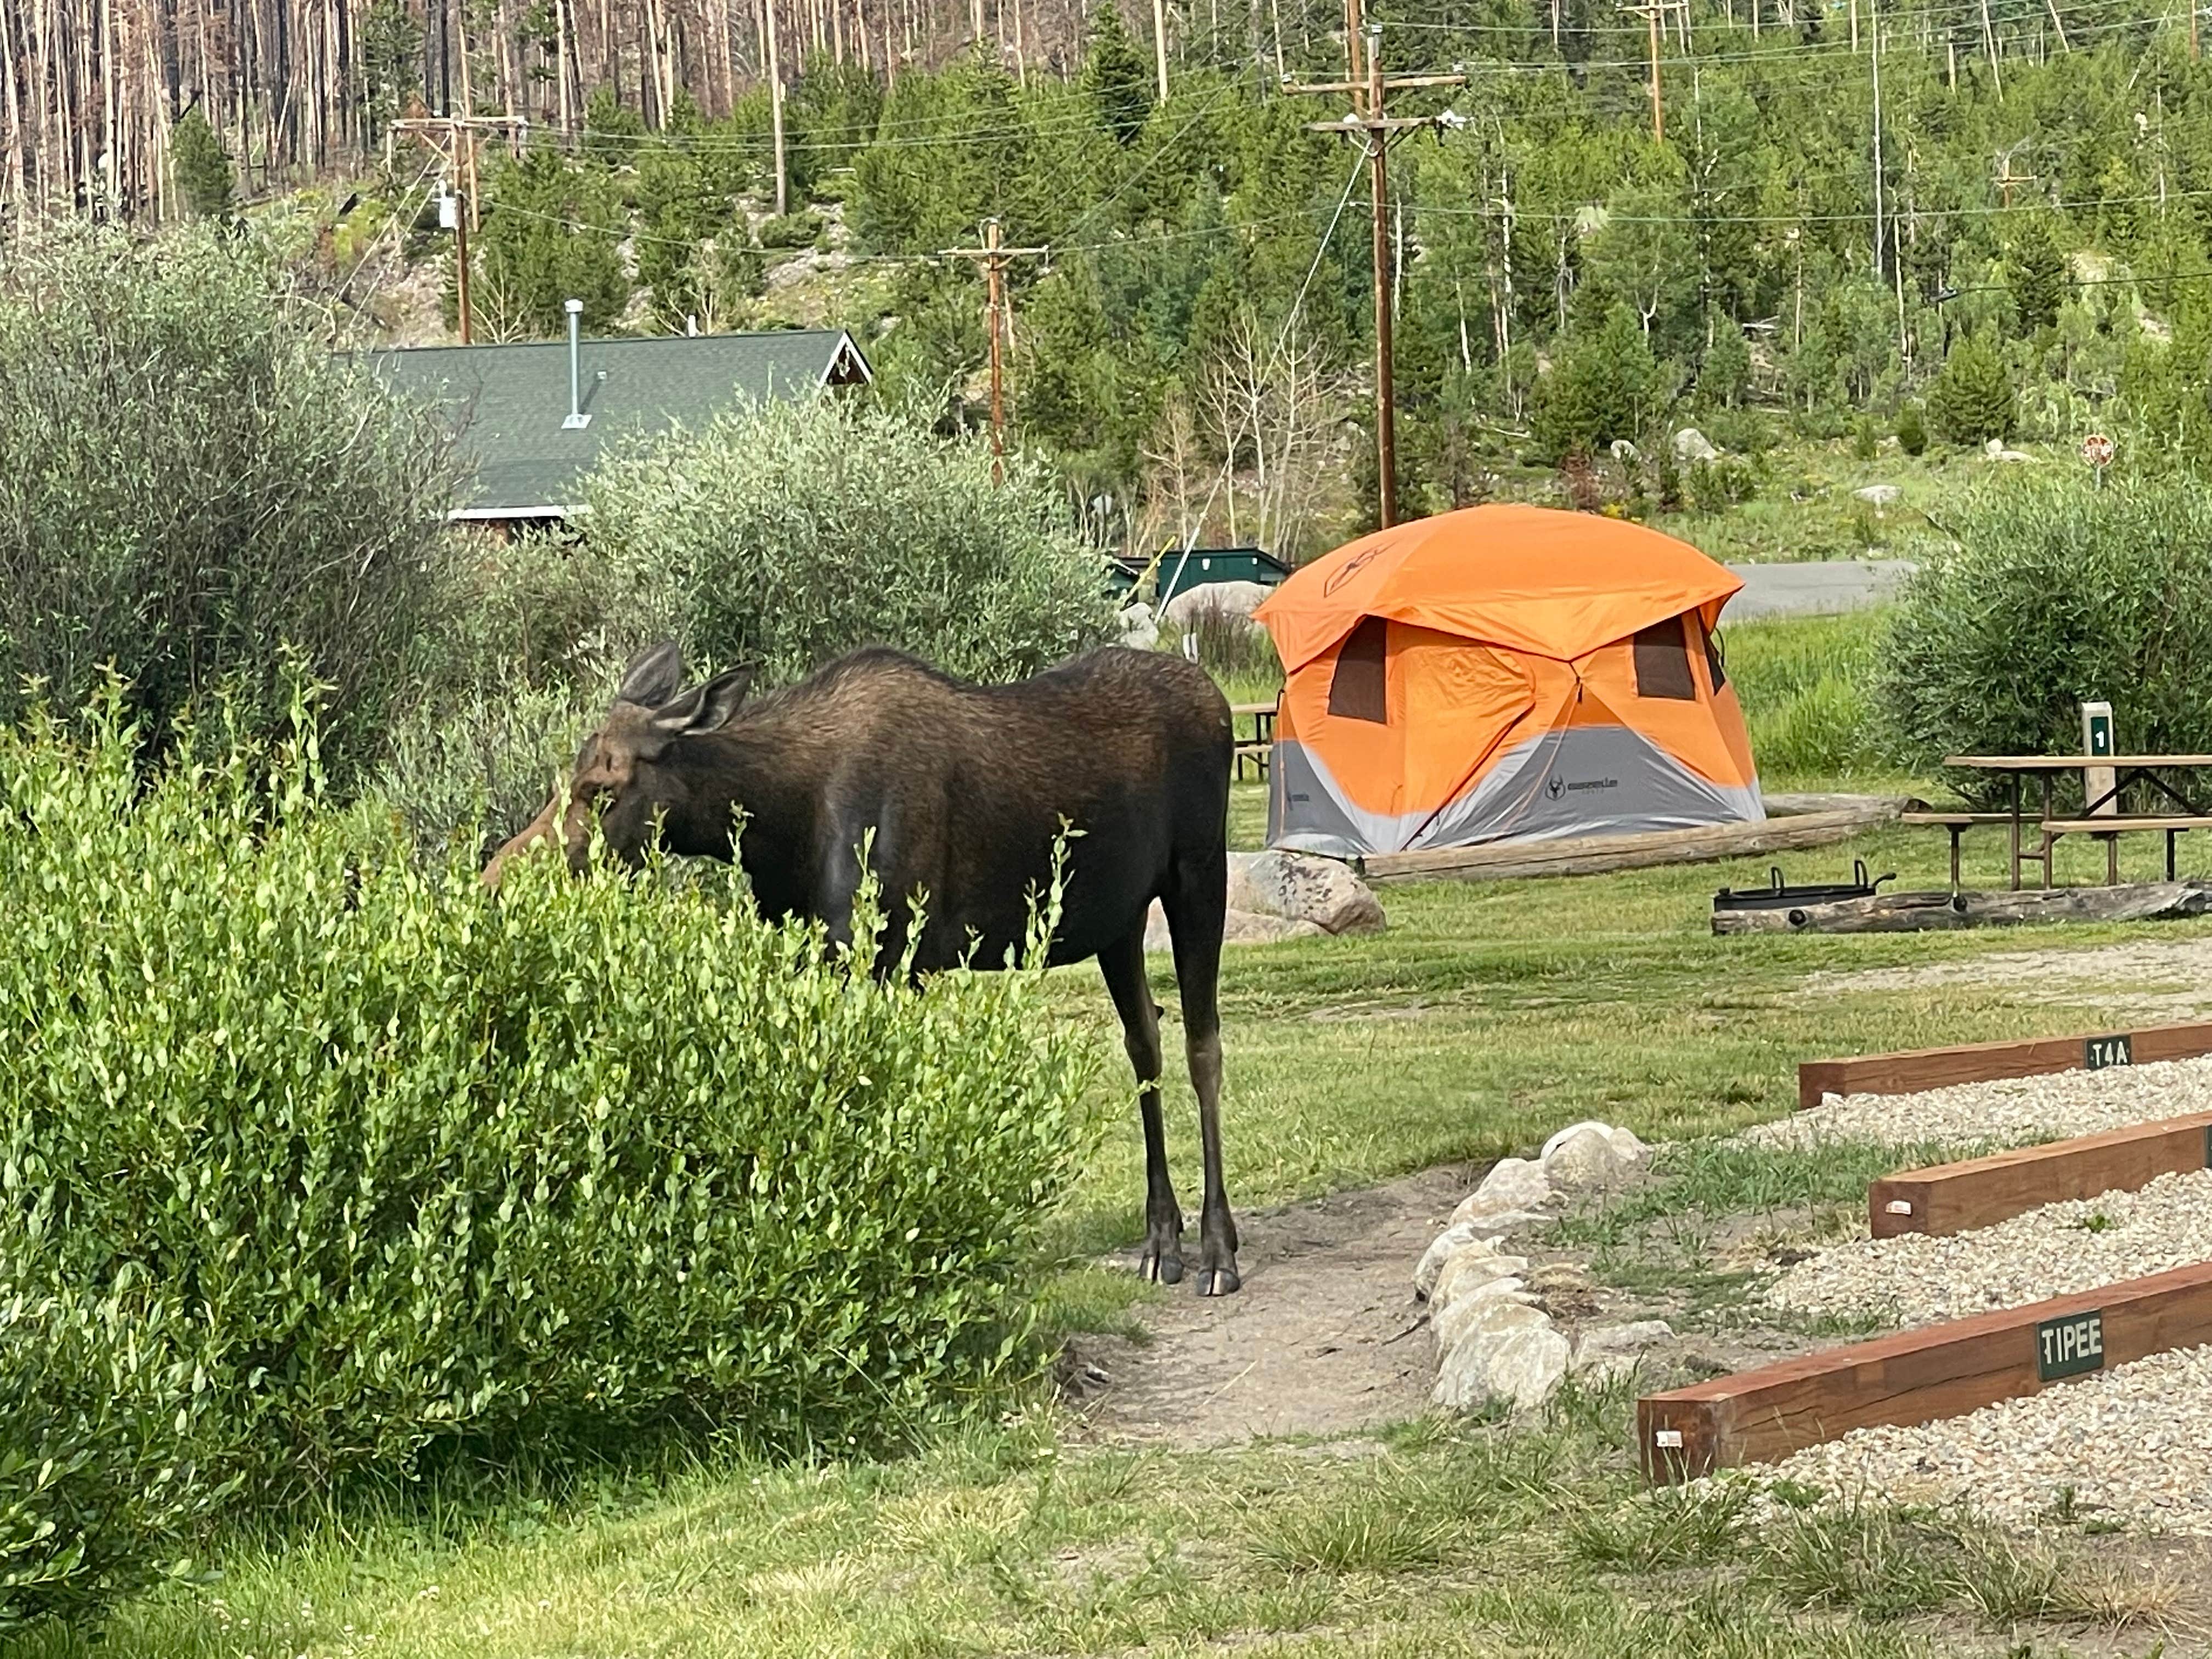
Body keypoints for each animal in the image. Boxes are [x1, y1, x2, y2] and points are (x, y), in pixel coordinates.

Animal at [487, 637, 1248, 1300]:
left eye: (602, 787)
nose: (499, 877)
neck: (777, 827)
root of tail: (1217, 699)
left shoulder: (894, 958)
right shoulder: (815, 959)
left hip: (1199, 875)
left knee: (1202, 1044)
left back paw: (1218, 1249)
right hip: (1120, 919)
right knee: (1144, 1046)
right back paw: (1162, 1241)